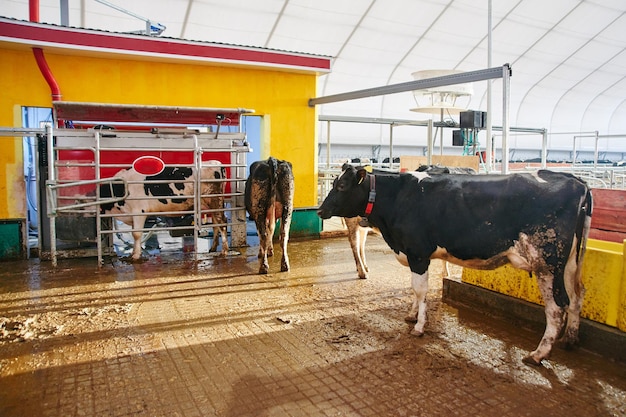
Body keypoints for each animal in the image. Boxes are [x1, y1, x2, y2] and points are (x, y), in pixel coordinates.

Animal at [97, 161, 227, 258]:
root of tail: (217, 164)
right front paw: (133, 252)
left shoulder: (139, 211)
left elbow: (136, 234)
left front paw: (136, 256)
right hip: (210, 204)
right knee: (216, 224)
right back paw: (213, 248)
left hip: (215, 200)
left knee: (222, 223)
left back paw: (224, 251)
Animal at [316, 166, 588, 364]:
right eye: (334, 183)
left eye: (341, 185)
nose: (319, 210)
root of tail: (576, 181)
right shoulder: (413, 254)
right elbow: (415, 288)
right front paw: (412, 315)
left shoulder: (418, 253)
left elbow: (420, 290)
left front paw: (419, 326)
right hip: (571, 263)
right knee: (578, 296)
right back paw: (571, 340)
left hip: (547, 263)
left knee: (557, 307)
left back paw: (539, 354)